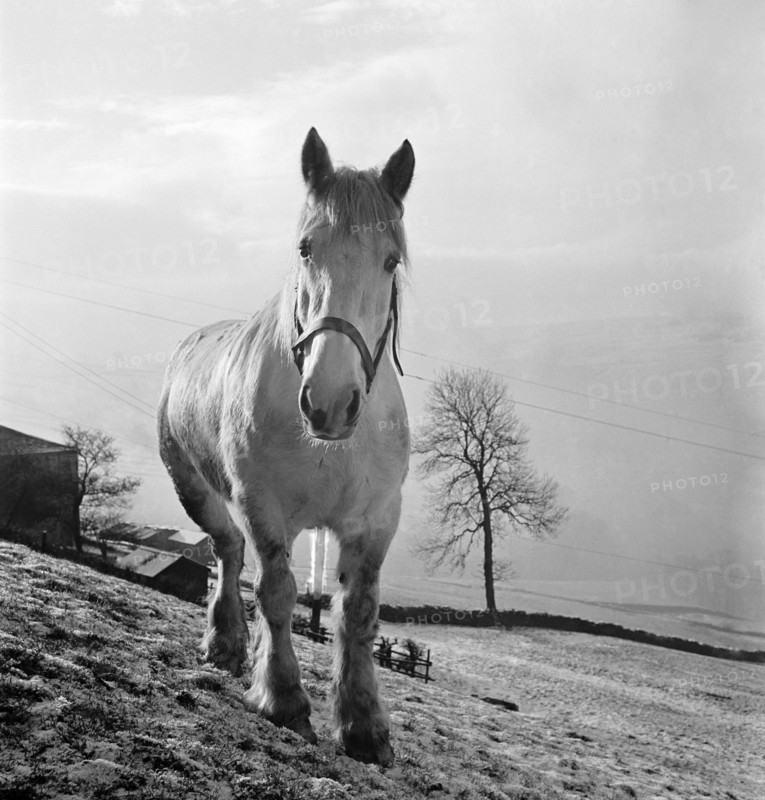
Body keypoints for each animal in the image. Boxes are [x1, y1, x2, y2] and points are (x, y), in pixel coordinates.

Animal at [157, 127, 414, 765]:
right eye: (305, 249)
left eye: (390, 260)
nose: (330, 401)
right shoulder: (262, 507)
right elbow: (276, 594)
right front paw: (281, 696)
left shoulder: (376, 521)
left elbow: (358, 613)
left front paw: (363, 723)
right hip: (196, 491)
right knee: (226, 550)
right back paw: (224, 641)